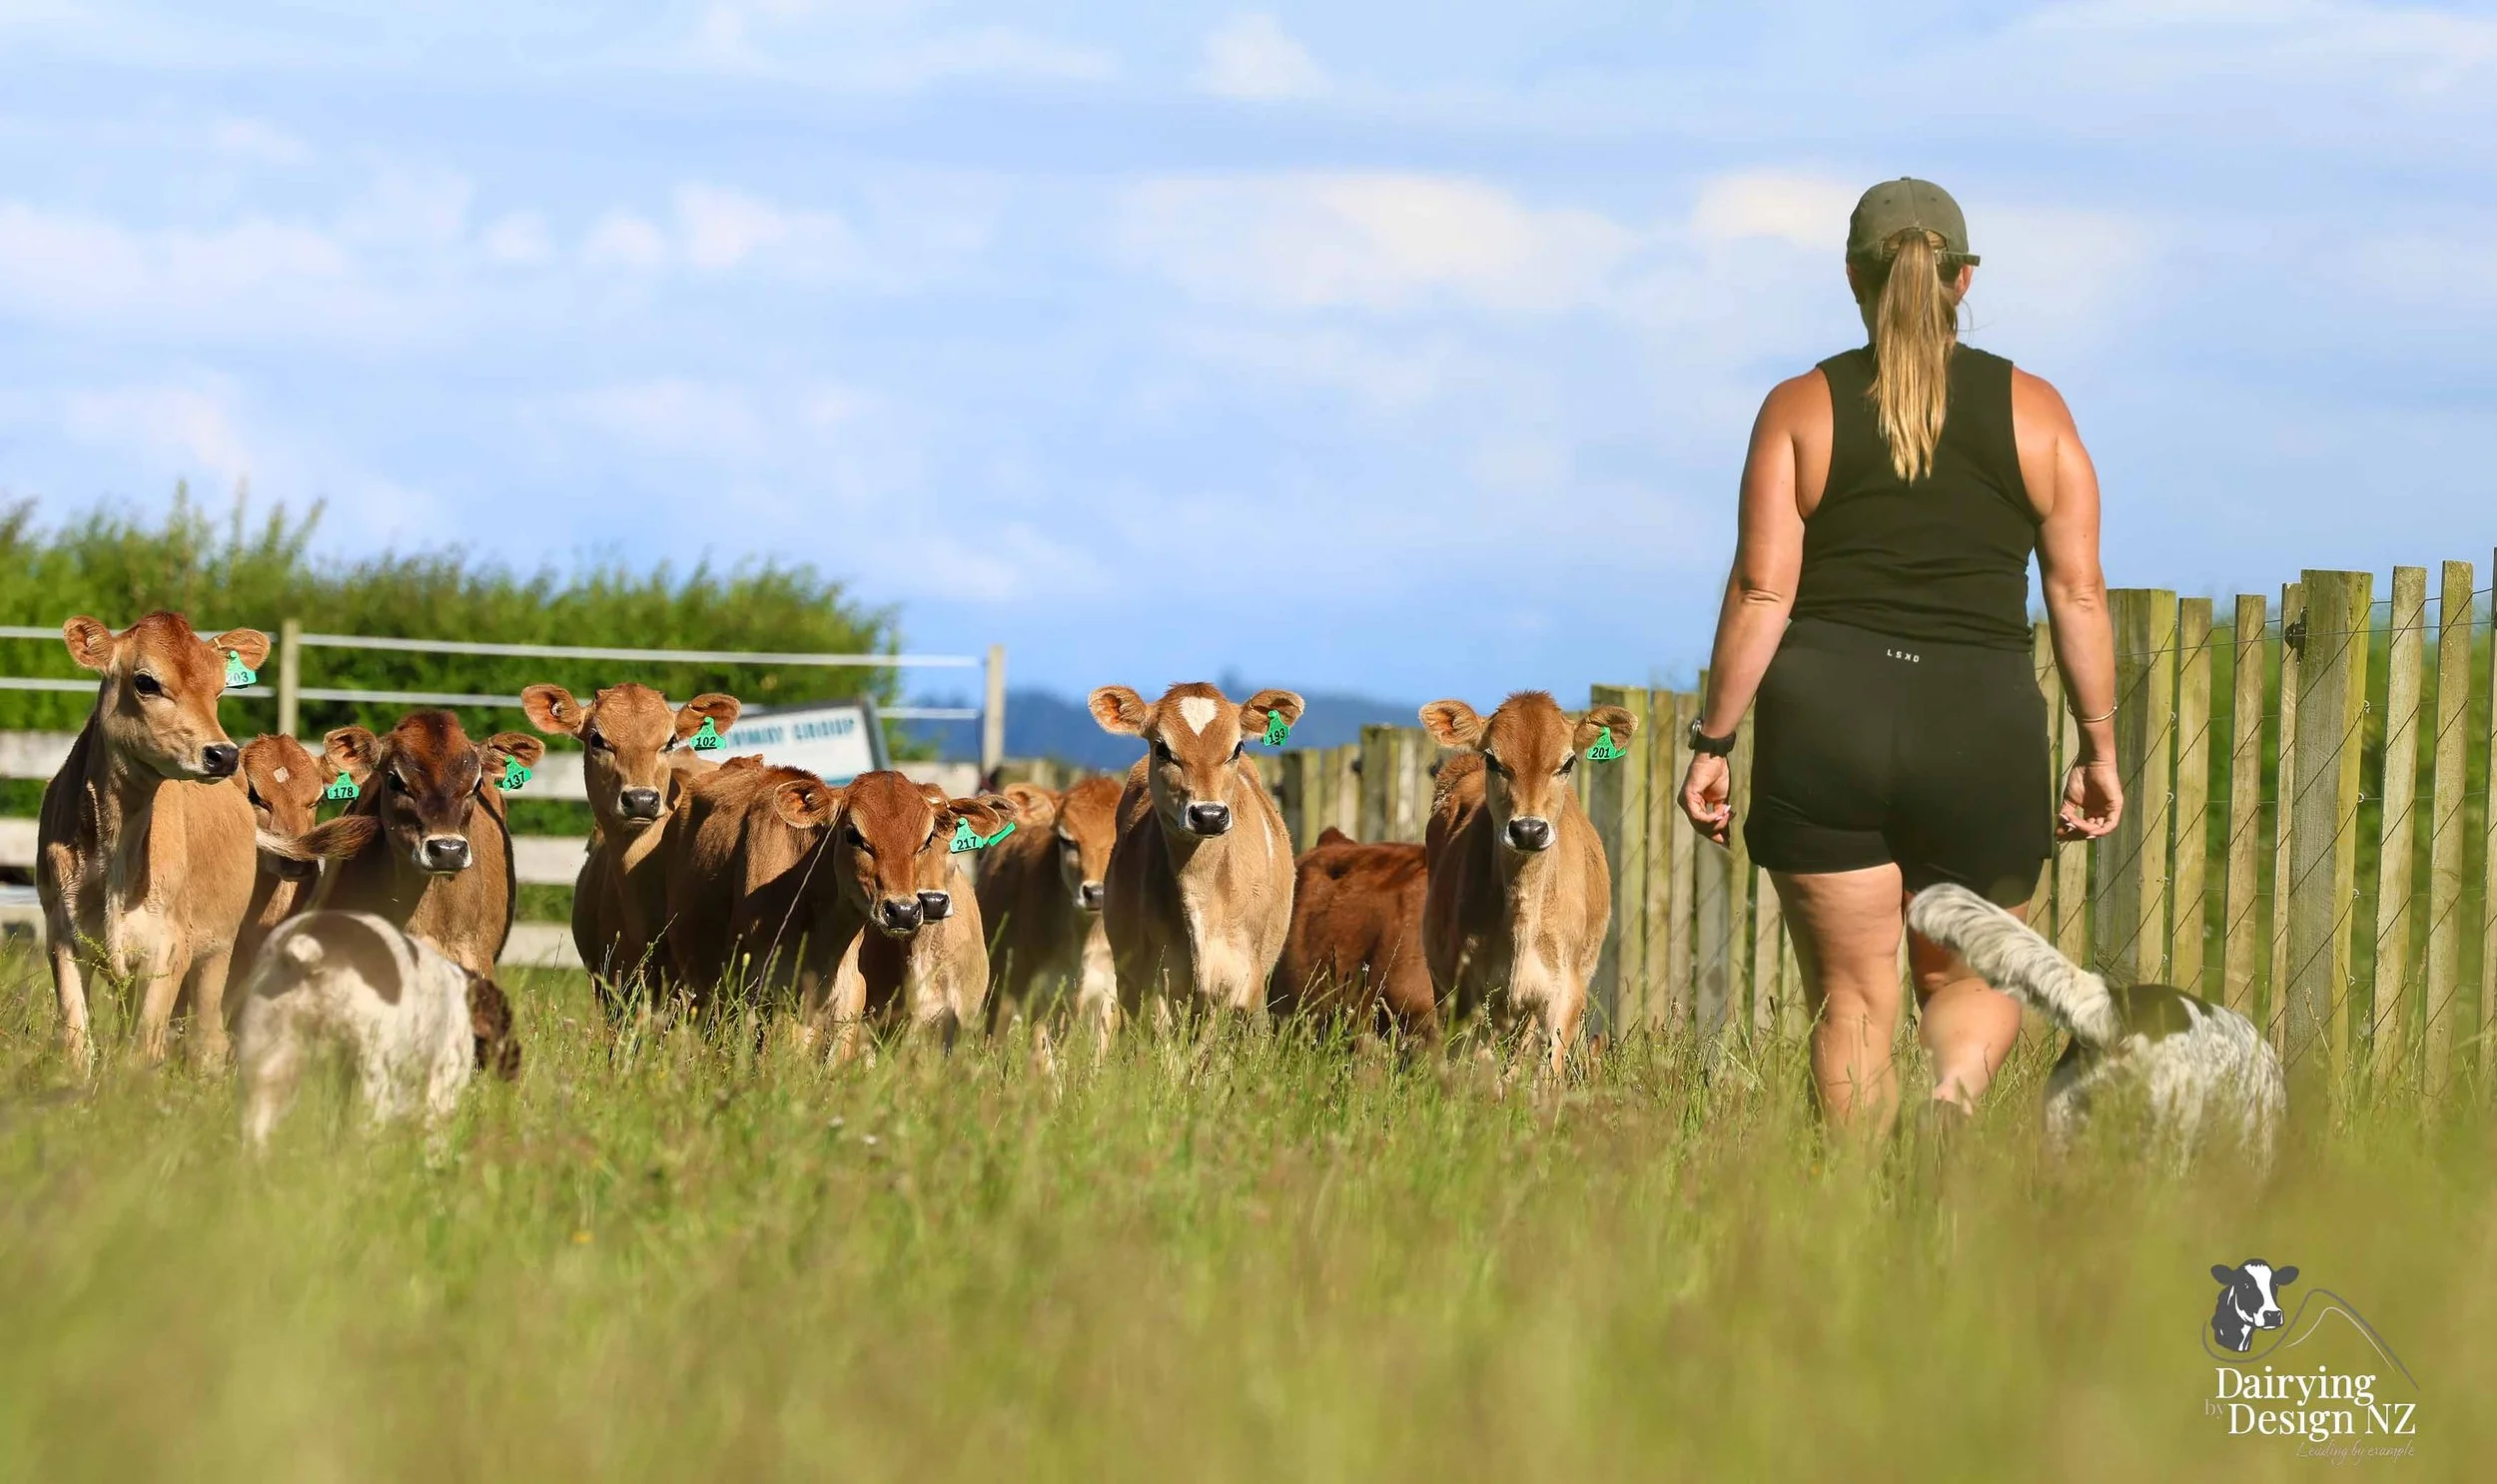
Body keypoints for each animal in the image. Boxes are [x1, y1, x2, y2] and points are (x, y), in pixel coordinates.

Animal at [36, 612, 271, 1069]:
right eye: (146, 682)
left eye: (219, 689)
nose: (223, 755)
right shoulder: (61, 935)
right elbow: (76, 1038)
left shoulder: (170, 946)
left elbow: (144, 1044)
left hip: (220, 950)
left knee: (207, 1035)